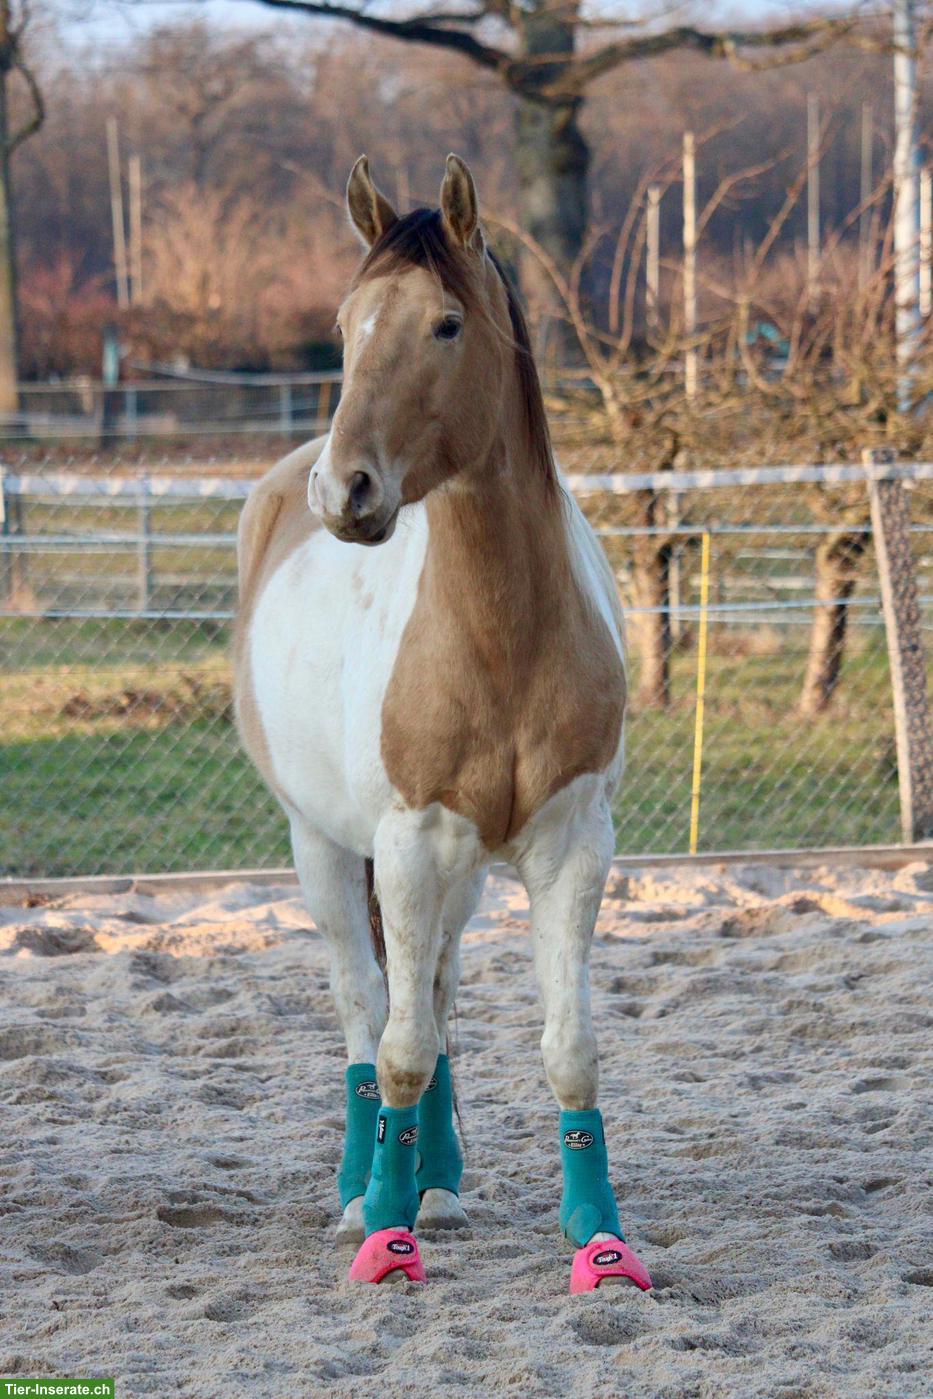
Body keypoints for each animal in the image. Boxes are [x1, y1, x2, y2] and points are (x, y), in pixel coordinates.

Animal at [233, 153, 652, 1293]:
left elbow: (566, 1047)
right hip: (327, 849)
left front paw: (599, 1237)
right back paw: (364, 1189)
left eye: (446, 324)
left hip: (455, 876)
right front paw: (385, 1229)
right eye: (345, 324)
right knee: (363, 1009)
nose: (347, 488)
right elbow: (398, 1045)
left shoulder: (570, 845)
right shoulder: (408, 841)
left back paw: (440, 1181)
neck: (503, 628)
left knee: (437, 991)